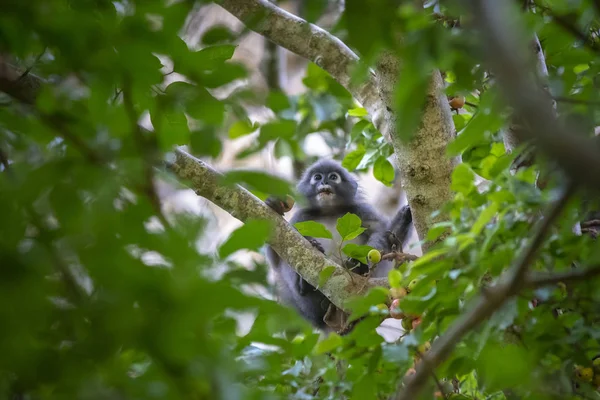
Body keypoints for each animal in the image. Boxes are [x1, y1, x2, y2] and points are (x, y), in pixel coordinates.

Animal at [268, 159, 412, 332]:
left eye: (333, 177)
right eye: (317, 177)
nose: (324, 182)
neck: (329, 211)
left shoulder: (360, 211)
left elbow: (381, 233)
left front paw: (360, 262)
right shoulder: (300, 217)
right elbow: (277, 254)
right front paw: (274, 206)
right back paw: (304, 283)